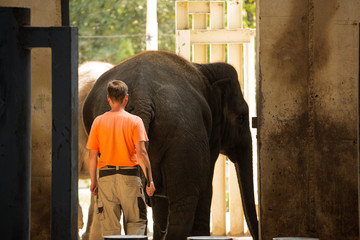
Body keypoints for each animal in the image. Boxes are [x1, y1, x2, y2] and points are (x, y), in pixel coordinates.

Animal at [82, 50, 258, 240]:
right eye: (241, 118)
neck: (205, 68)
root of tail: (142, 96)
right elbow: (205, 185)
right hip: (185, 137)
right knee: (184, 202)